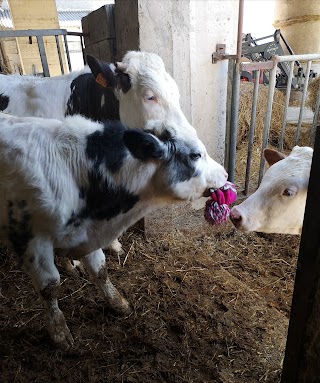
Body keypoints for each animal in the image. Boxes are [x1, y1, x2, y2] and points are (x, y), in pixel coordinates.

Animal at [0, 112, 228, 352]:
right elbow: (49, 286)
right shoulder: (30, 239)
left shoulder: (87, 231)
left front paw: (118, 303)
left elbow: (100, 270)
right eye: (196, 154)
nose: (224, 173)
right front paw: (59, 332)